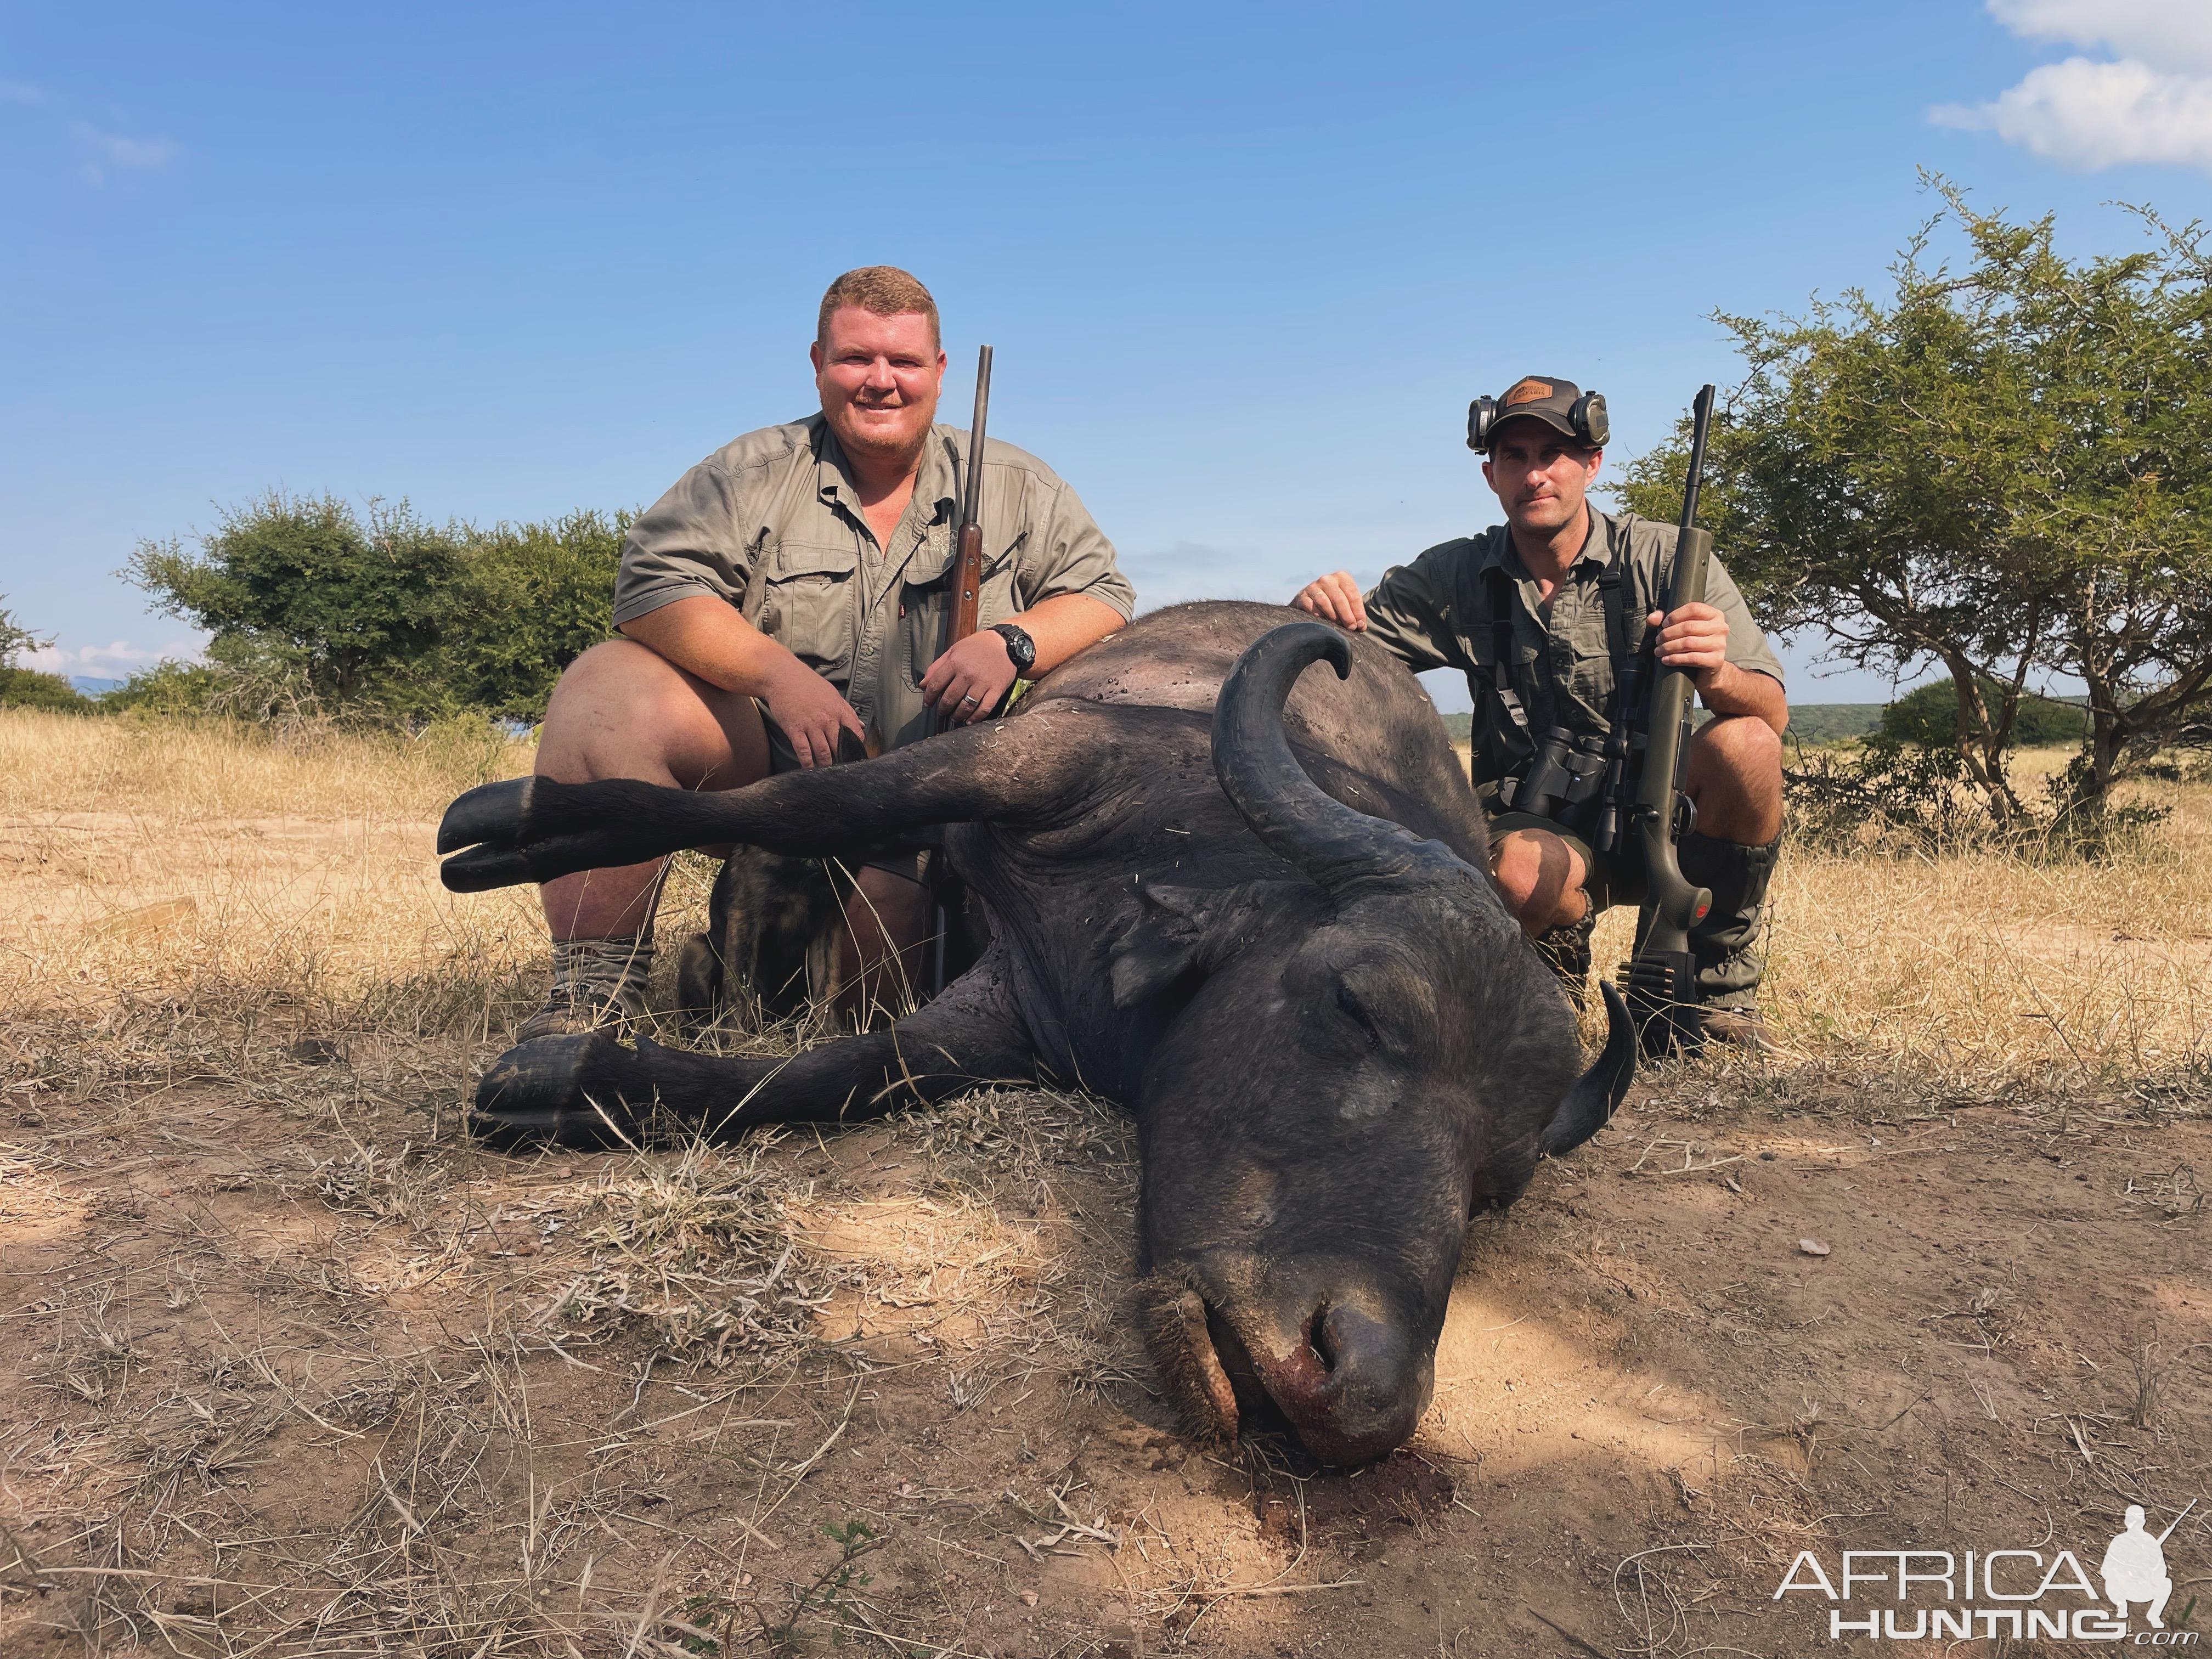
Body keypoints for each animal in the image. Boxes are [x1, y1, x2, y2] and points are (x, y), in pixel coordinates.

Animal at [440, 606, 1637, 1460]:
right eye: (1356, 1004)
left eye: (1495, 1182)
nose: (1361, 1391)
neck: (1185, 862)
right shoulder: (1031, 758)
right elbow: (798, 804)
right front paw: (516, 822)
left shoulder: (1005, 1021)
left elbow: (840, 1072)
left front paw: (568, 1084)